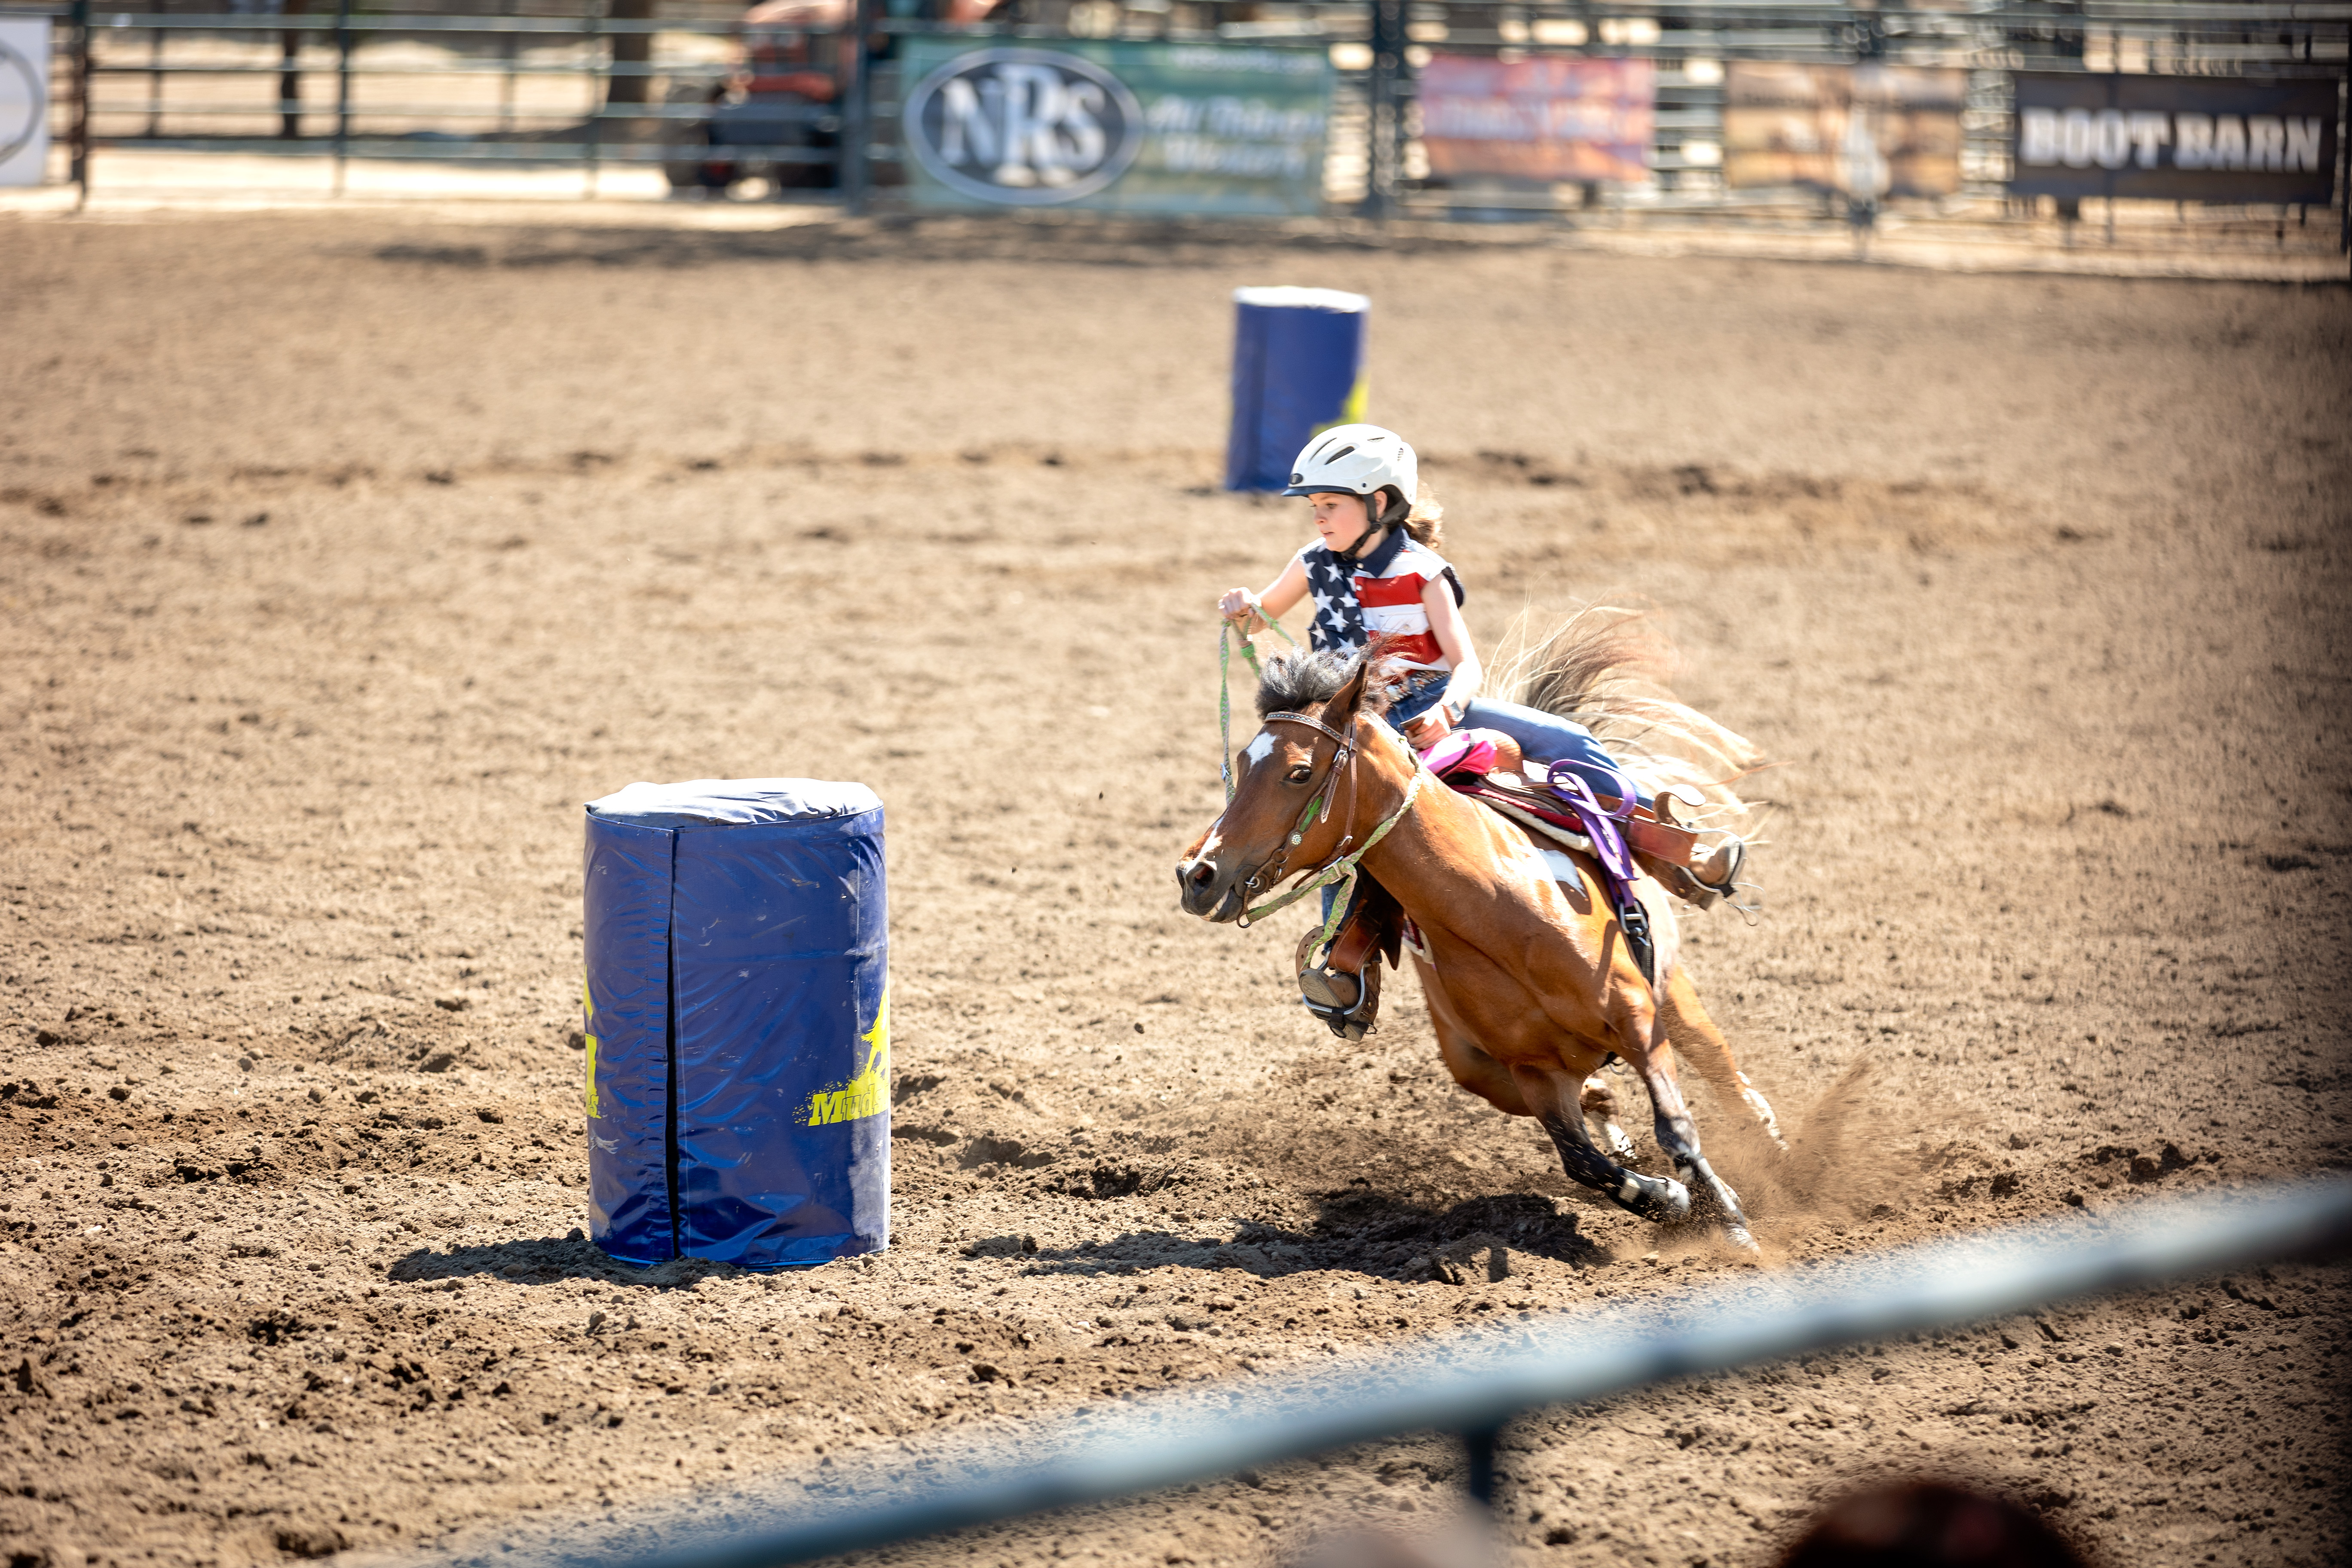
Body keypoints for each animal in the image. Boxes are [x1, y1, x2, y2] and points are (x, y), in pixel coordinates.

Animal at [1175, 613, 1781, 1250]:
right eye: (1242, 765)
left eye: (1299, 772)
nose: (1197, 874)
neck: (1501, 911)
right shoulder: (1534, 1072)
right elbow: (1583, 1163)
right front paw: (1671, 1199)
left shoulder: (1635, 1013)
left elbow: (1676, 1127)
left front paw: (1729, 1220)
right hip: (1485, 1071)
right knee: (1599, 1101)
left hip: (1670, 988)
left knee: (1719, 1068)